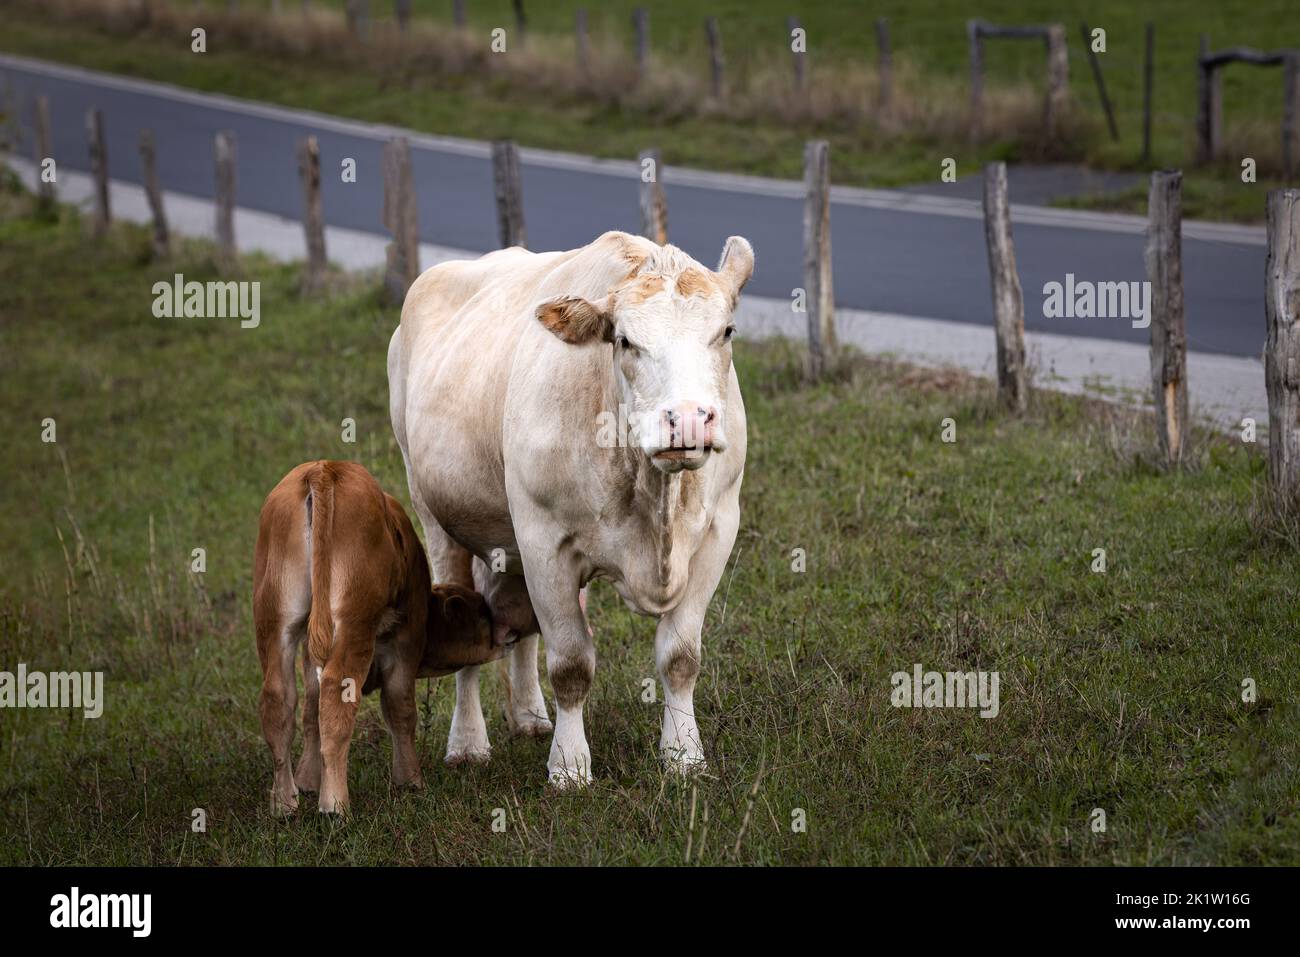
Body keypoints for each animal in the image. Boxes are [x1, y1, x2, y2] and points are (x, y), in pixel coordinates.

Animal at [253, 462, 501, 816]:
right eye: (481, 613)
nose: (504, 632)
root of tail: (324, 469)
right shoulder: (408, 636)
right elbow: (400, 707)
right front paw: (409, 779)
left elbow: (310, 710)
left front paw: (308, 781)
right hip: (353, 624)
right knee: (336, 695)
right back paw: (335, 806)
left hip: (276, 621)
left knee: (278, 699)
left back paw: (285, 803)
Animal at [384, 231, 754, 785]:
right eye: (624, 340)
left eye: (726, 331)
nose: (689, 420)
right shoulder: (545, 542)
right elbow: (572, 664)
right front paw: (570, 767)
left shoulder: (717, 532)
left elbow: (680, 658)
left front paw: (684, 756)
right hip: (435, 514)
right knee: (466, 631)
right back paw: (468, 743)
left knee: (518, 625)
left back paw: (530, 717)